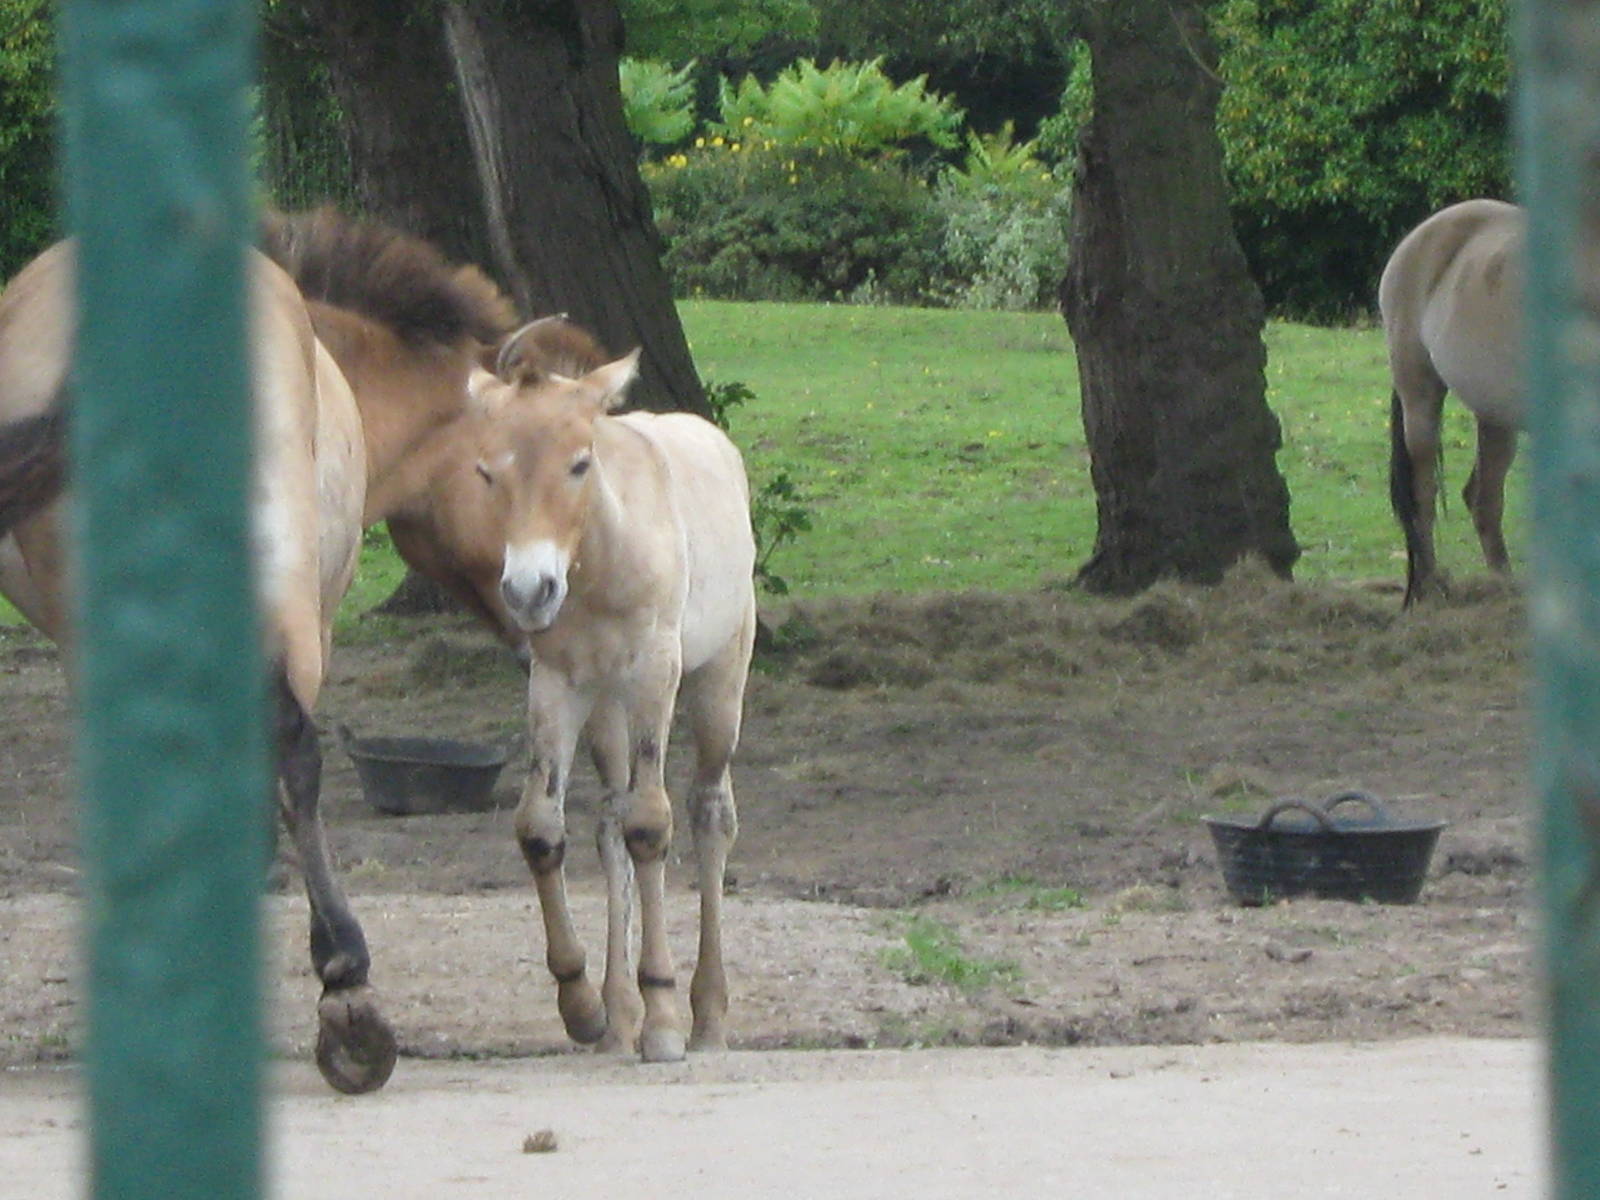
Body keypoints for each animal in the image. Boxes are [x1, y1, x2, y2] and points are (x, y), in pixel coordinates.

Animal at [415, 318, 757, 1061]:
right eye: (487, 471)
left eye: (579, 464)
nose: (528, 591)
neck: (599, 560)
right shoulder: (556, 683)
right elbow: (543, 827)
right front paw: (584, 1006)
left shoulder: (656, 671)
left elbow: (652, 823)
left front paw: (663, 1017)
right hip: (605, 709)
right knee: (608, 817)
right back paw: (619, 1014)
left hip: (720, 679)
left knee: (709, 811)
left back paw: (708, 1016)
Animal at [1382, 198, 1525, 605]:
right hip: (1420, 394)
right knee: (1423, 494)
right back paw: (1431, 588)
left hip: (1495, 414)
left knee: (1482, 499)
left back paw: (1504, 587)